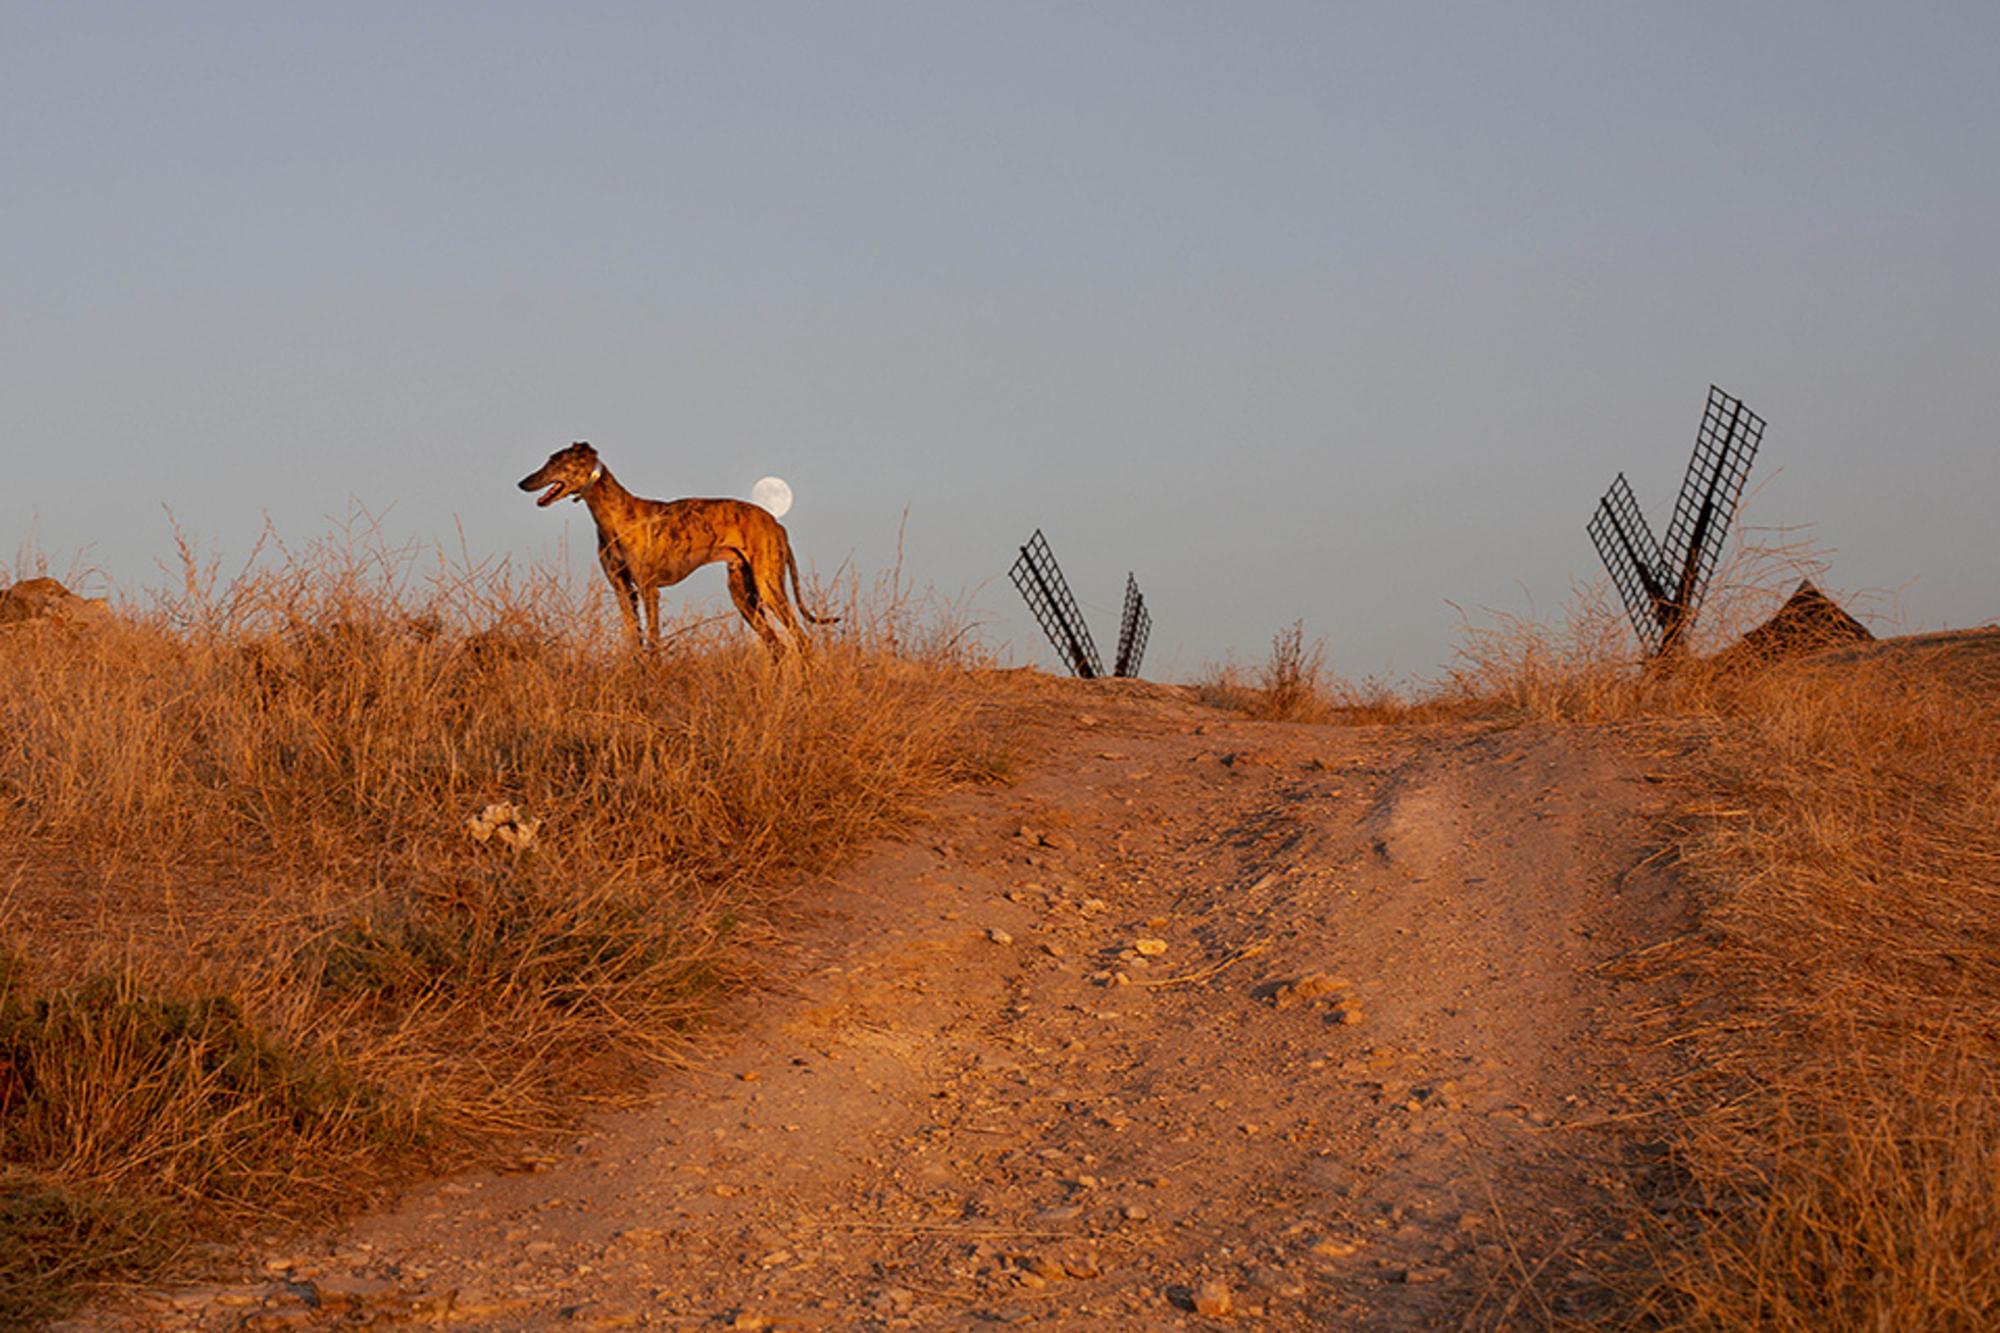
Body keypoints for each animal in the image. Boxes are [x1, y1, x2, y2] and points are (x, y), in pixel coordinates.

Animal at [524, 440, 836, 652]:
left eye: (555, 462)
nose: (521, 482)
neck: (614, 515)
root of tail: (776, 523)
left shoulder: (648, 588)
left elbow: (653, 641)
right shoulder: (623, 589)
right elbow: (634, 641)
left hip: (768, 585)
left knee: (803, 642)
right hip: (743, 596)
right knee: (778, 648)